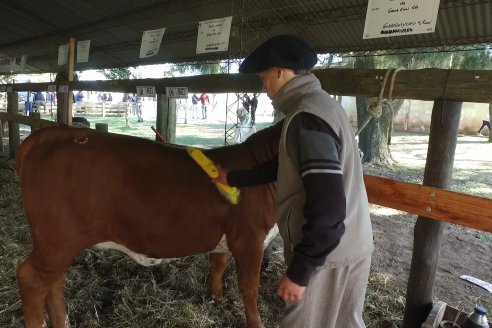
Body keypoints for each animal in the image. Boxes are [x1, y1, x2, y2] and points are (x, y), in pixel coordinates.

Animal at [14, 122, 280, 328]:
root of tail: (57, 132)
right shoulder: (250, 239)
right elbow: (250, 288)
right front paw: (256, 323)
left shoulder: (227, 238)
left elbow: (218, 264)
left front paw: (216, 298)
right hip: (57, 241)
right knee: (31, 280)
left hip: (59, 246)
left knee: (55, 283)